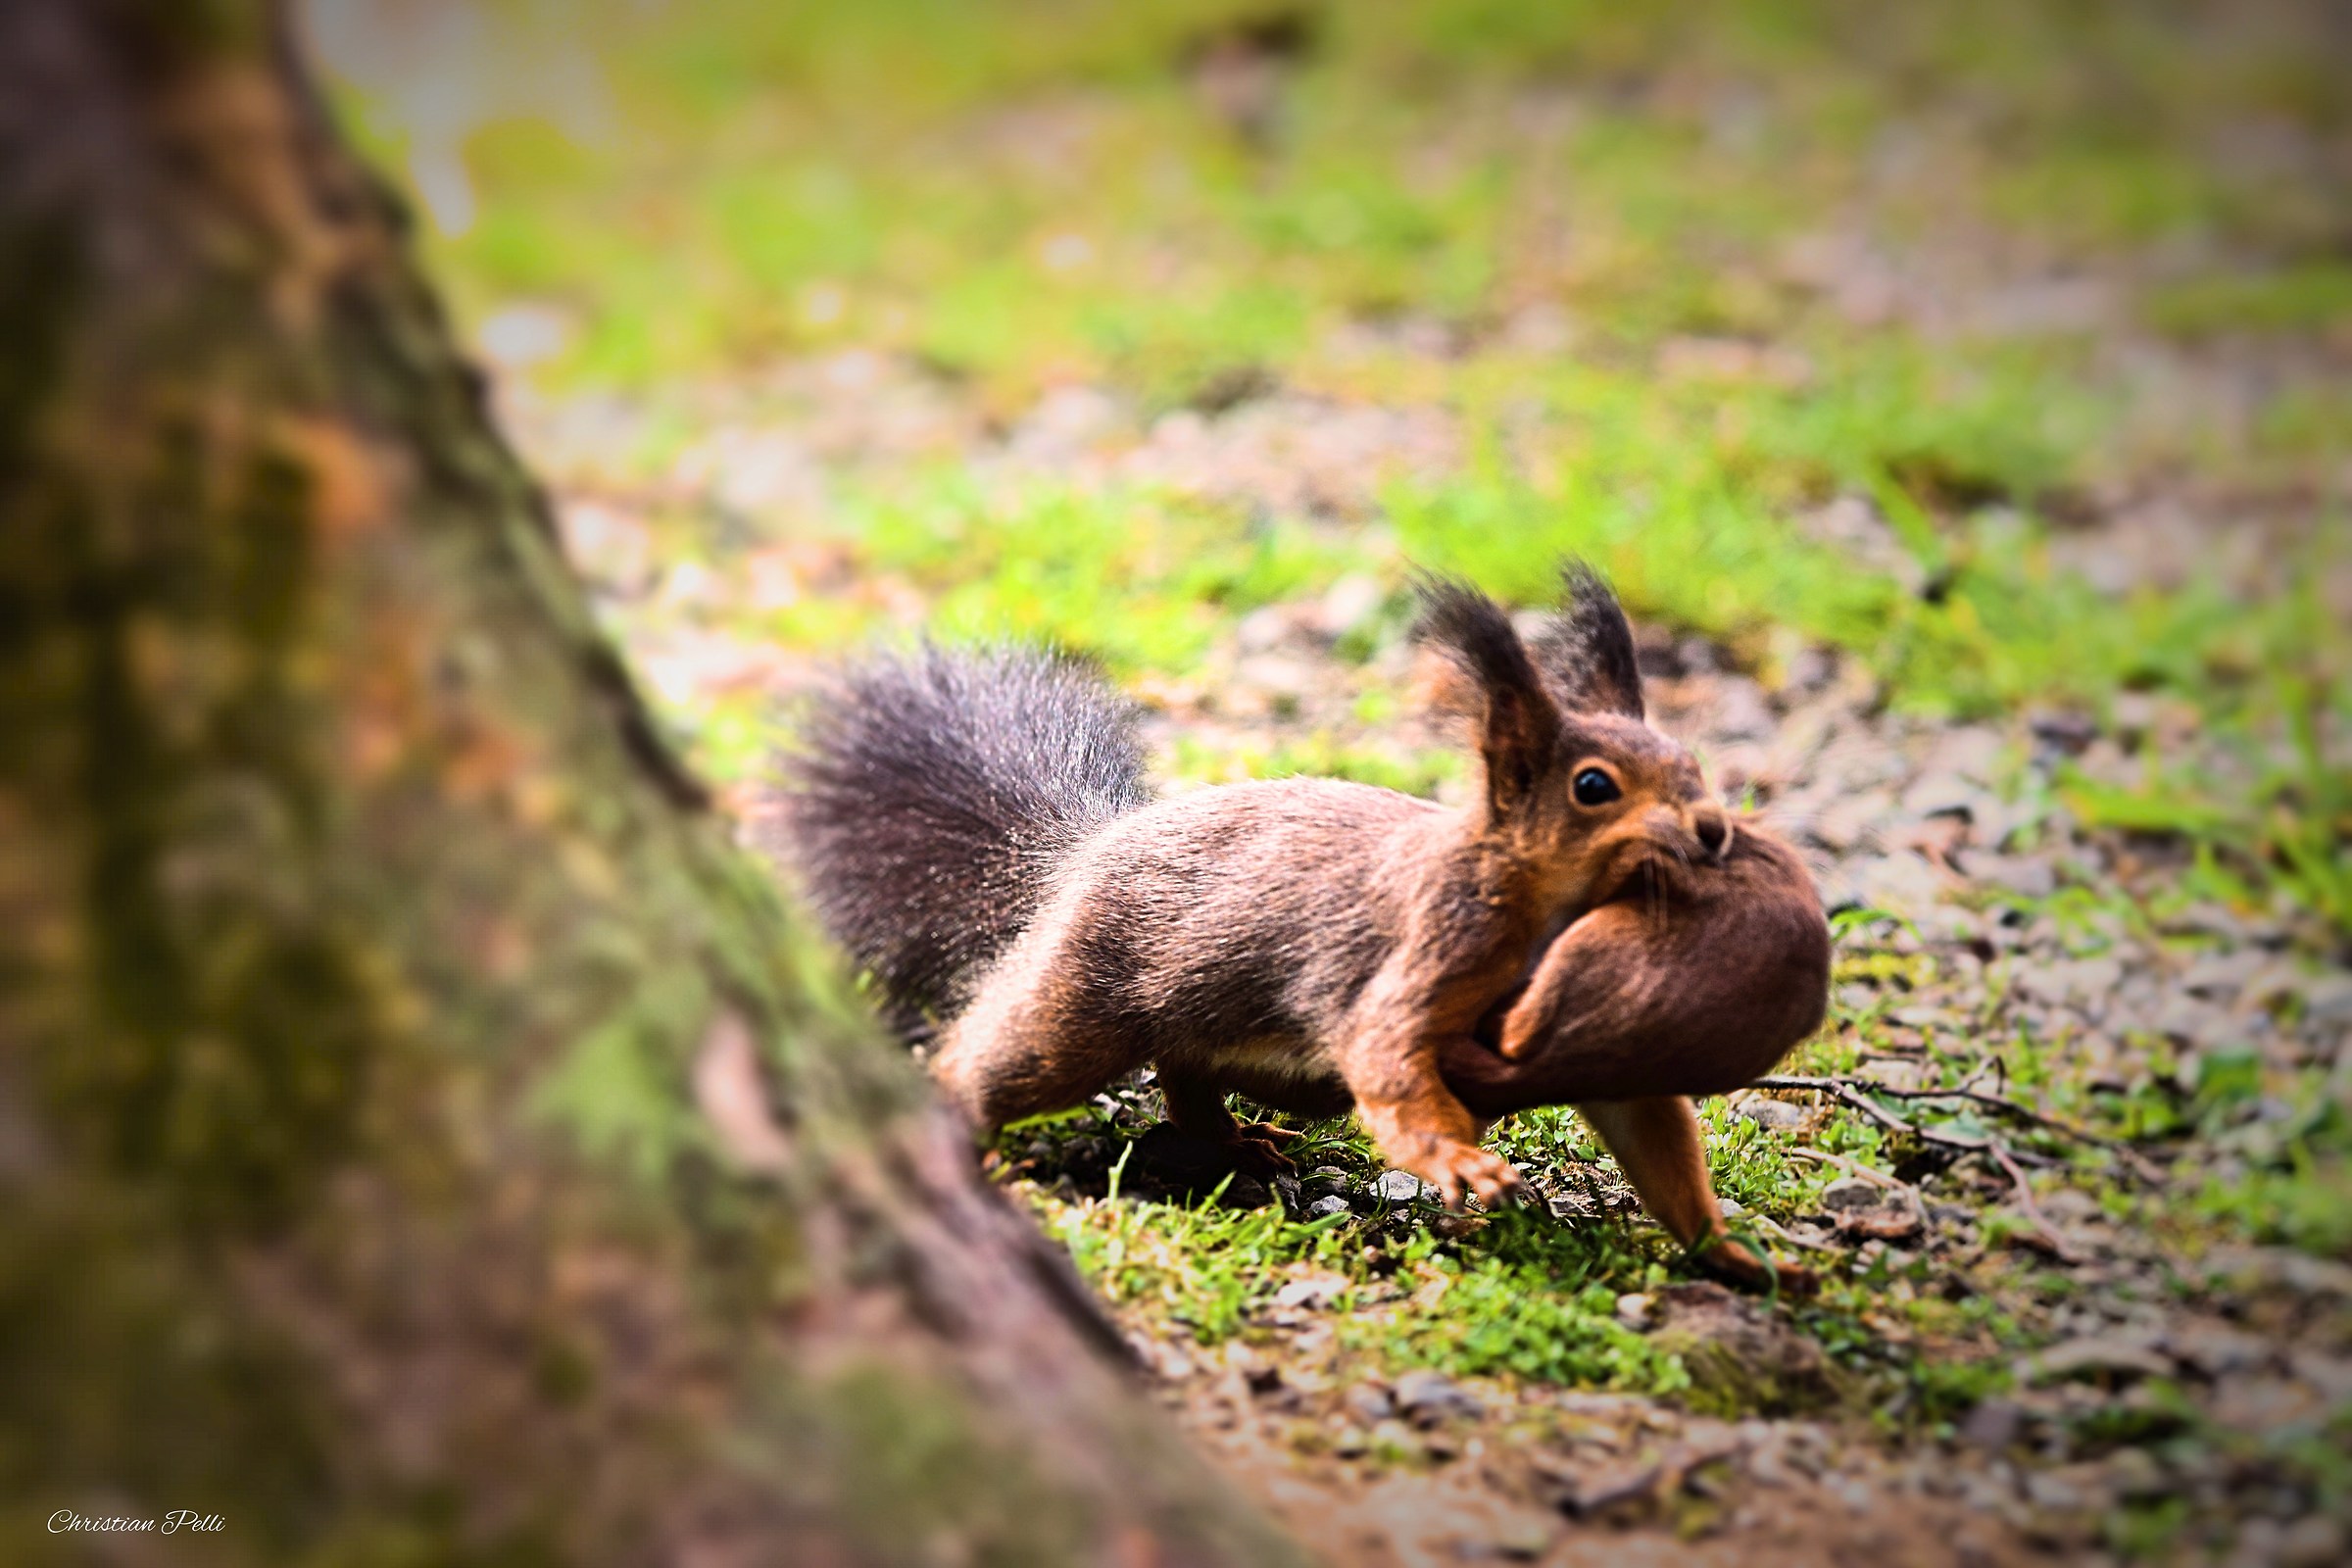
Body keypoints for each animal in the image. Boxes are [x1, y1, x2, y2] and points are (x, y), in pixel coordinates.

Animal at [781, 565, 1826, 1279]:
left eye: (1691, 763)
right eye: (1595, 788)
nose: (1713, 830)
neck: (1543, 906)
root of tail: (1087, 850)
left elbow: (1654, 1136)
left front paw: (1734, 1254)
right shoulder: (1432, 943)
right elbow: (1386, 1057)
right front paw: (1459, 1161)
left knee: (1188, 1072)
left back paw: (1234, 1143)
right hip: (1088, 993)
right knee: (1006, 1052)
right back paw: (964, 1123)